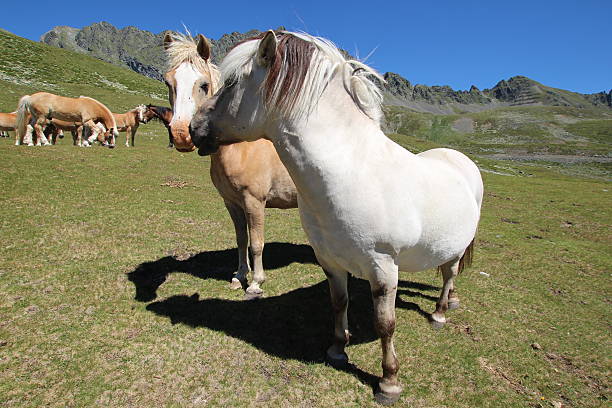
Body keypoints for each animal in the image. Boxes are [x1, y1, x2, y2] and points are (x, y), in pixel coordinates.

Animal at [163, 31, 296, 296]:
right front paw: (239, 276)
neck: (239, 149)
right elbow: (241, 239)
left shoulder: (254, 202)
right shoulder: (232, 203)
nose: (182, 135)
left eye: (203, 85)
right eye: (168, 82)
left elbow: (256, 243)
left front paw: (255, 283)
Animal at [189, 30, 486, 404]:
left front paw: (389, 382)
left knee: (449, 275)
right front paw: (337, 350)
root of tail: (461, 161)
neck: (352, 174)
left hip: (454, 249)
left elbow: (385, 325)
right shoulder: (330, 260)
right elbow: (338, 303)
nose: (192, 129)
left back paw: (440, 313)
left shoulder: (383, 268)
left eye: (229, 82)